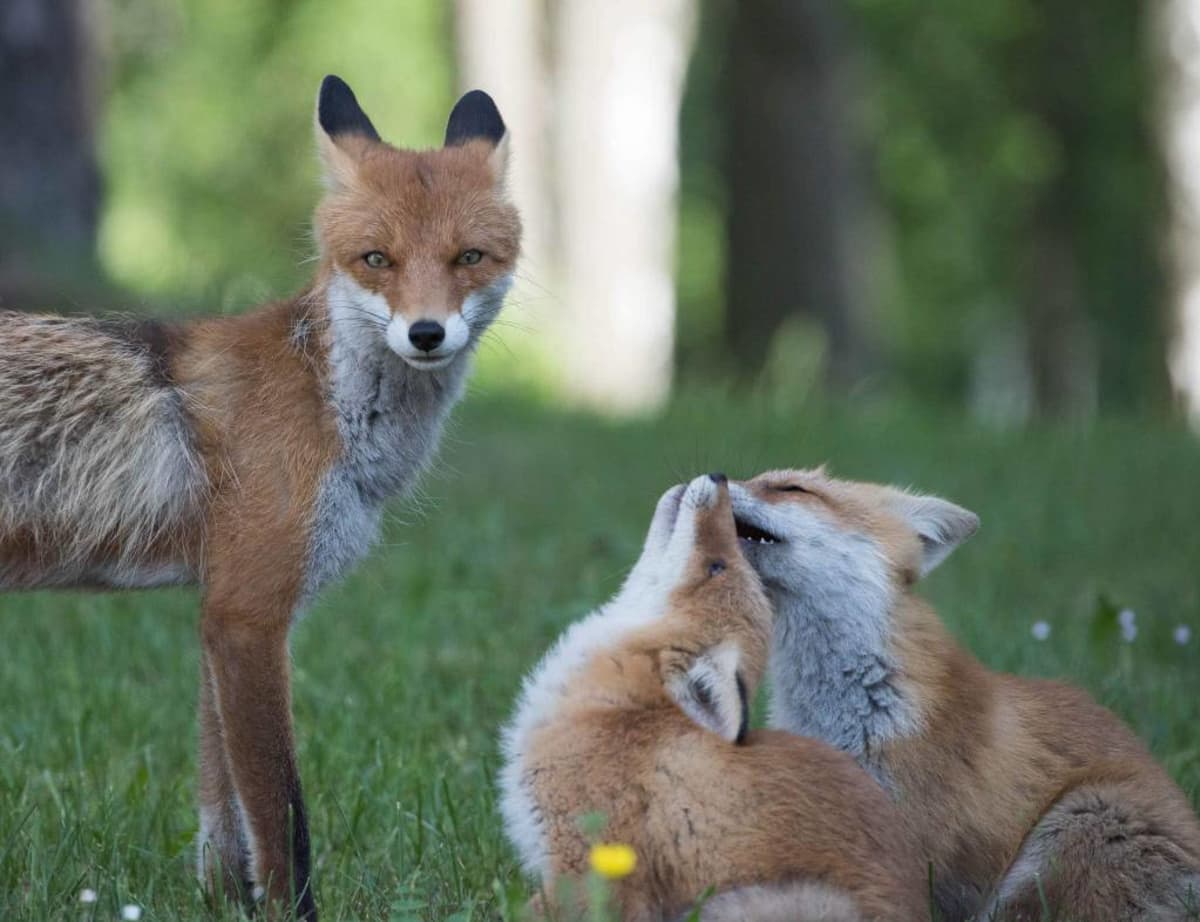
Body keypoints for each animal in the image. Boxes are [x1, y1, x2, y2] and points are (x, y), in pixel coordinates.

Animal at [0, 75, 520, 917]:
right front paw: (289, 912)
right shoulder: (248, 614)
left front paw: (221, 902)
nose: (426, 333)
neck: (324, 398)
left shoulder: (221, 612)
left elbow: (222, 810)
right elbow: (279, 814)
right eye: (376, 259)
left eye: (468, 257)